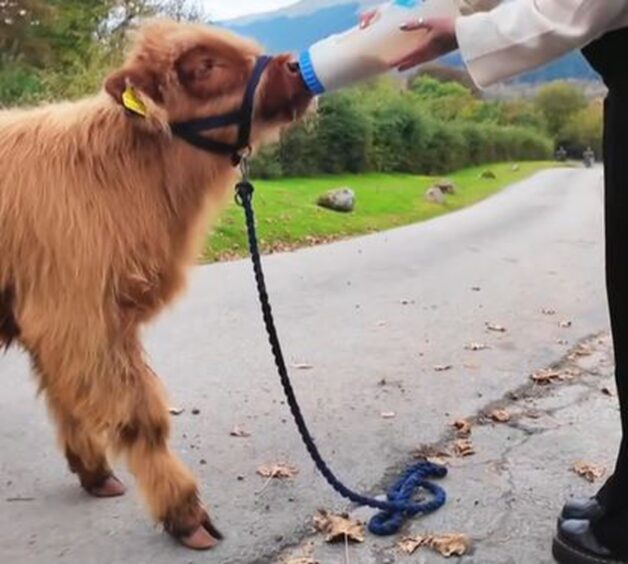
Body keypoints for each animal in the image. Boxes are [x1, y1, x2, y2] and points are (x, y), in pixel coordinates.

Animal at [0, 18, 312, 552]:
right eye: (204, 65)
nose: (294, 65)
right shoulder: (75, 312)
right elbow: (139, 415)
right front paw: (185, 513)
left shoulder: (70, 319)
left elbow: (70, 399)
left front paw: (94, 471)